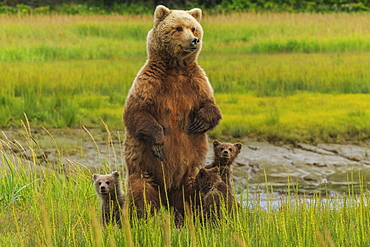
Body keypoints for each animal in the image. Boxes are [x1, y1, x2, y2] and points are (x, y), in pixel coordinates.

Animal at [124, 4, 221, 218]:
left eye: (193, 28)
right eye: (178, 28)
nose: (194, 40)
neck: (176, 68)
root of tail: (166, 192)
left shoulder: (197, 83)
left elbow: (211, 106)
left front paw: (199, 122)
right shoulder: (149, 82)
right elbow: (137, 113)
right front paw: (159, 142)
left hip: (189, 173)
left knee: (189, 198)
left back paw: (190, 217)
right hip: (144, 168)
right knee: (141, 193)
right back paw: (142, 217)